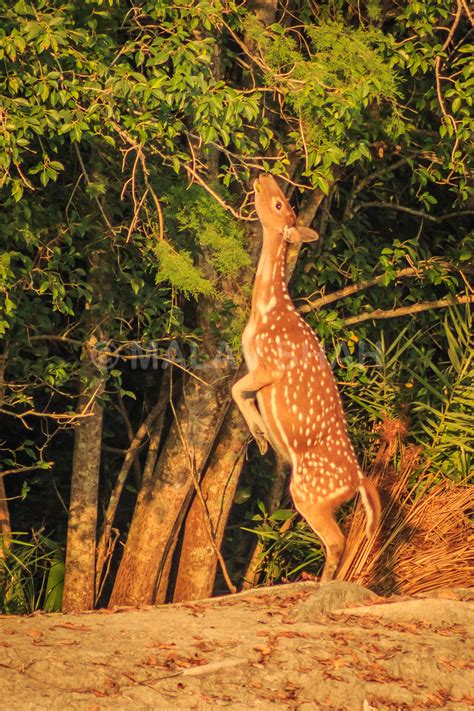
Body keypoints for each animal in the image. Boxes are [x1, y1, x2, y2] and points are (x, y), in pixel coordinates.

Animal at [232, 174, 380, 582]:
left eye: (280, 204)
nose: (263, 176)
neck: (267, 310)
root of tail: (357, 480)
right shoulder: (253, 362)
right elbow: (241, 392)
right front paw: (262, 437)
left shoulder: (271, 363)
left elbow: (235, 389)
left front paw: (262, 437)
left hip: (309, 492)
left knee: (336, 539)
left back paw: (319, 582)